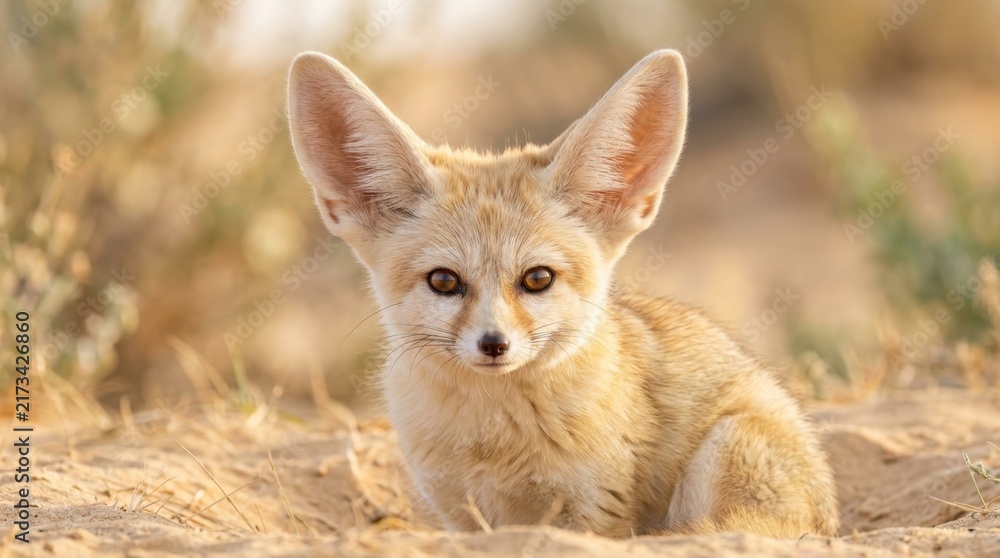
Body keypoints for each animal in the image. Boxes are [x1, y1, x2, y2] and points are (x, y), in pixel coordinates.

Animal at [287, 49, 839, 538]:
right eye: (444, 281)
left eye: (538, 279)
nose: (494, 344)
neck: (494, 441)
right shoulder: (460, 515)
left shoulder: (594, 509)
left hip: (725, 447)